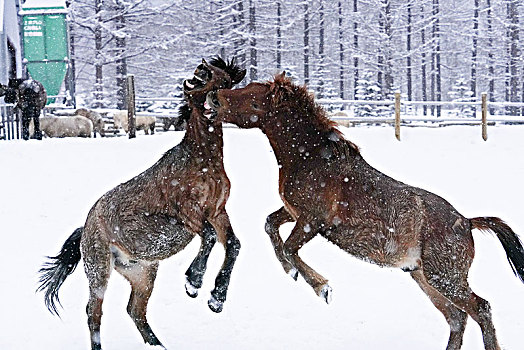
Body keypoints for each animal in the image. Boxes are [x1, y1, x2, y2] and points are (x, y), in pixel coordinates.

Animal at [36, 58, 246, 350]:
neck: (203, 162)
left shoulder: (217, 211)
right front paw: (193, 282)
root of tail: (85, 227)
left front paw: (216, 298)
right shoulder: (186, 212)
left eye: (225, 81)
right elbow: (209, 236)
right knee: (93, 312)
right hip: (99, 270)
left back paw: (159, 346)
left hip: (143, 273)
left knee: (135, 310)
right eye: (209, 75)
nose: (202, 69)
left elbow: (233, 244)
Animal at [207, 72, 524, 350]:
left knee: (480, 309)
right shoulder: (293, 212)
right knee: (457, 319)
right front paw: (291, 272)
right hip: (424, 278)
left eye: (253, 98)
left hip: (444, 277)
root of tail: (467, 222)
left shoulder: (312, 221)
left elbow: (288, 247)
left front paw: (322, 287)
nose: (213, 97)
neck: (310, 159)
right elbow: (270, 225)